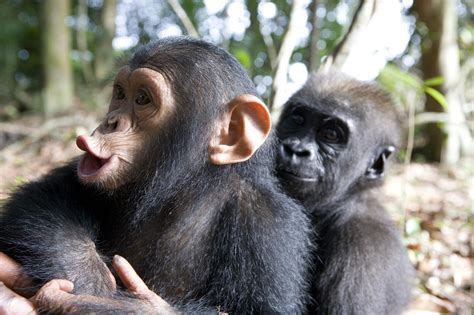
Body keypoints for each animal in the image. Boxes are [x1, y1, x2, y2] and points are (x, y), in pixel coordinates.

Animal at [0, 37, 312, 314]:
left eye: (142, 99)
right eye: (120, 94)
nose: (110, 122)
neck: (182, 189)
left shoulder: (268, 224)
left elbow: (259, 309)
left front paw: (102, 304)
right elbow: (43, 196)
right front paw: (87, 274)